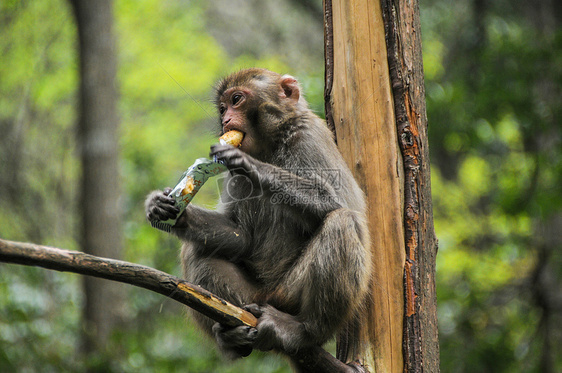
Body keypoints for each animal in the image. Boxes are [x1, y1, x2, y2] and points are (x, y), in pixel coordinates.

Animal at [145, 67, 372, 366]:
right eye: (222, 108)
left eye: (236, 100)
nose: (226, 120)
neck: (270, 144)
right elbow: (241, 236)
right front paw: (169, 210)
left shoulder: (308, 136)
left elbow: (336, 202)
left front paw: (246, 162)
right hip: (248, 298)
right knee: (195, 251)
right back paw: (231, 338)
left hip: (288, 293)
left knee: (343, 221)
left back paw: (303, 331)